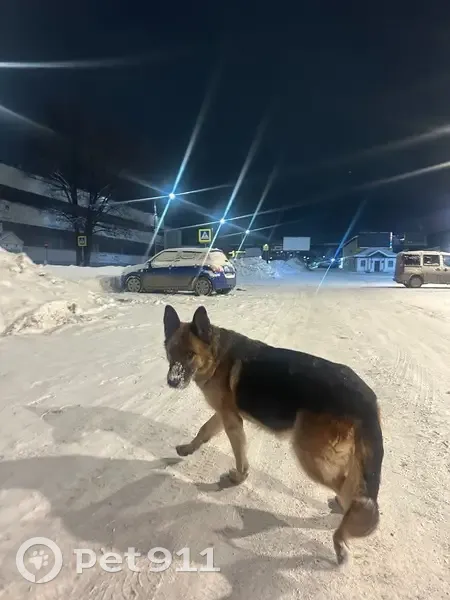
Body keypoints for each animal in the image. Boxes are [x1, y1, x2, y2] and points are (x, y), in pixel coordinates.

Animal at [163, 304, 384, 565]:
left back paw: (340, 536)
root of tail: (368, 399)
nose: (172, 382)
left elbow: (239, 455)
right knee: (352, 486)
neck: (215, 355)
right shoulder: (223, 415)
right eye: (170, 352)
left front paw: (238, 478)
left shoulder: (231, 421)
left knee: (351, 493)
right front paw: (188, 449)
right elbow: (204, 430)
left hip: (309, 456)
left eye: (190, 354)